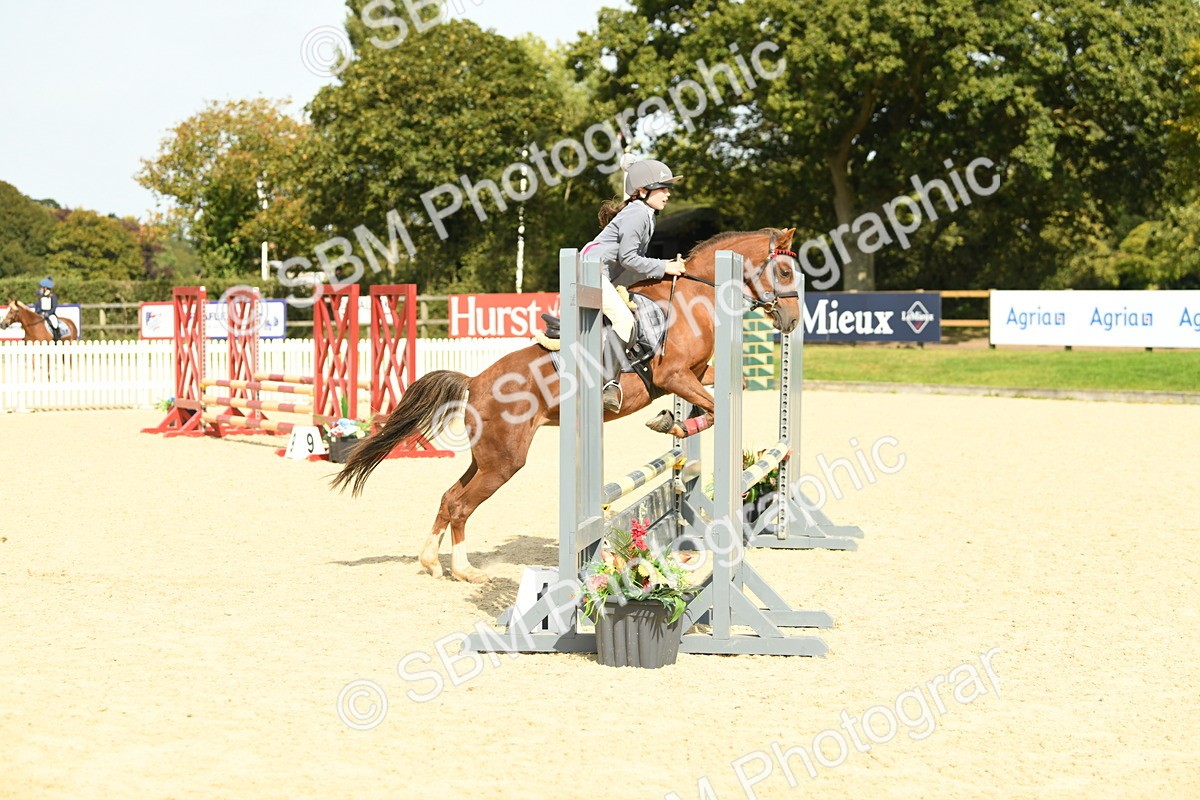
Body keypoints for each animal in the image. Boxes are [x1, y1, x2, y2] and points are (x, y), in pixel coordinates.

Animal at [332, 228, 802, 583]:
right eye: (783, 270)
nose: (793, 321)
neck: (690, 300)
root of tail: (474, 382)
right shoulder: (673, 376)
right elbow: (715, 409)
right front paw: (673, 425)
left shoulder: (696, 375)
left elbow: (730, 390)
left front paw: (673, 422)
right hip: (504, 461)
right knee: (462, 505)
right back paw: (466, 572)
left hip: (486, 457)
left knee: (450, 498)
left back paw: (432, 562)